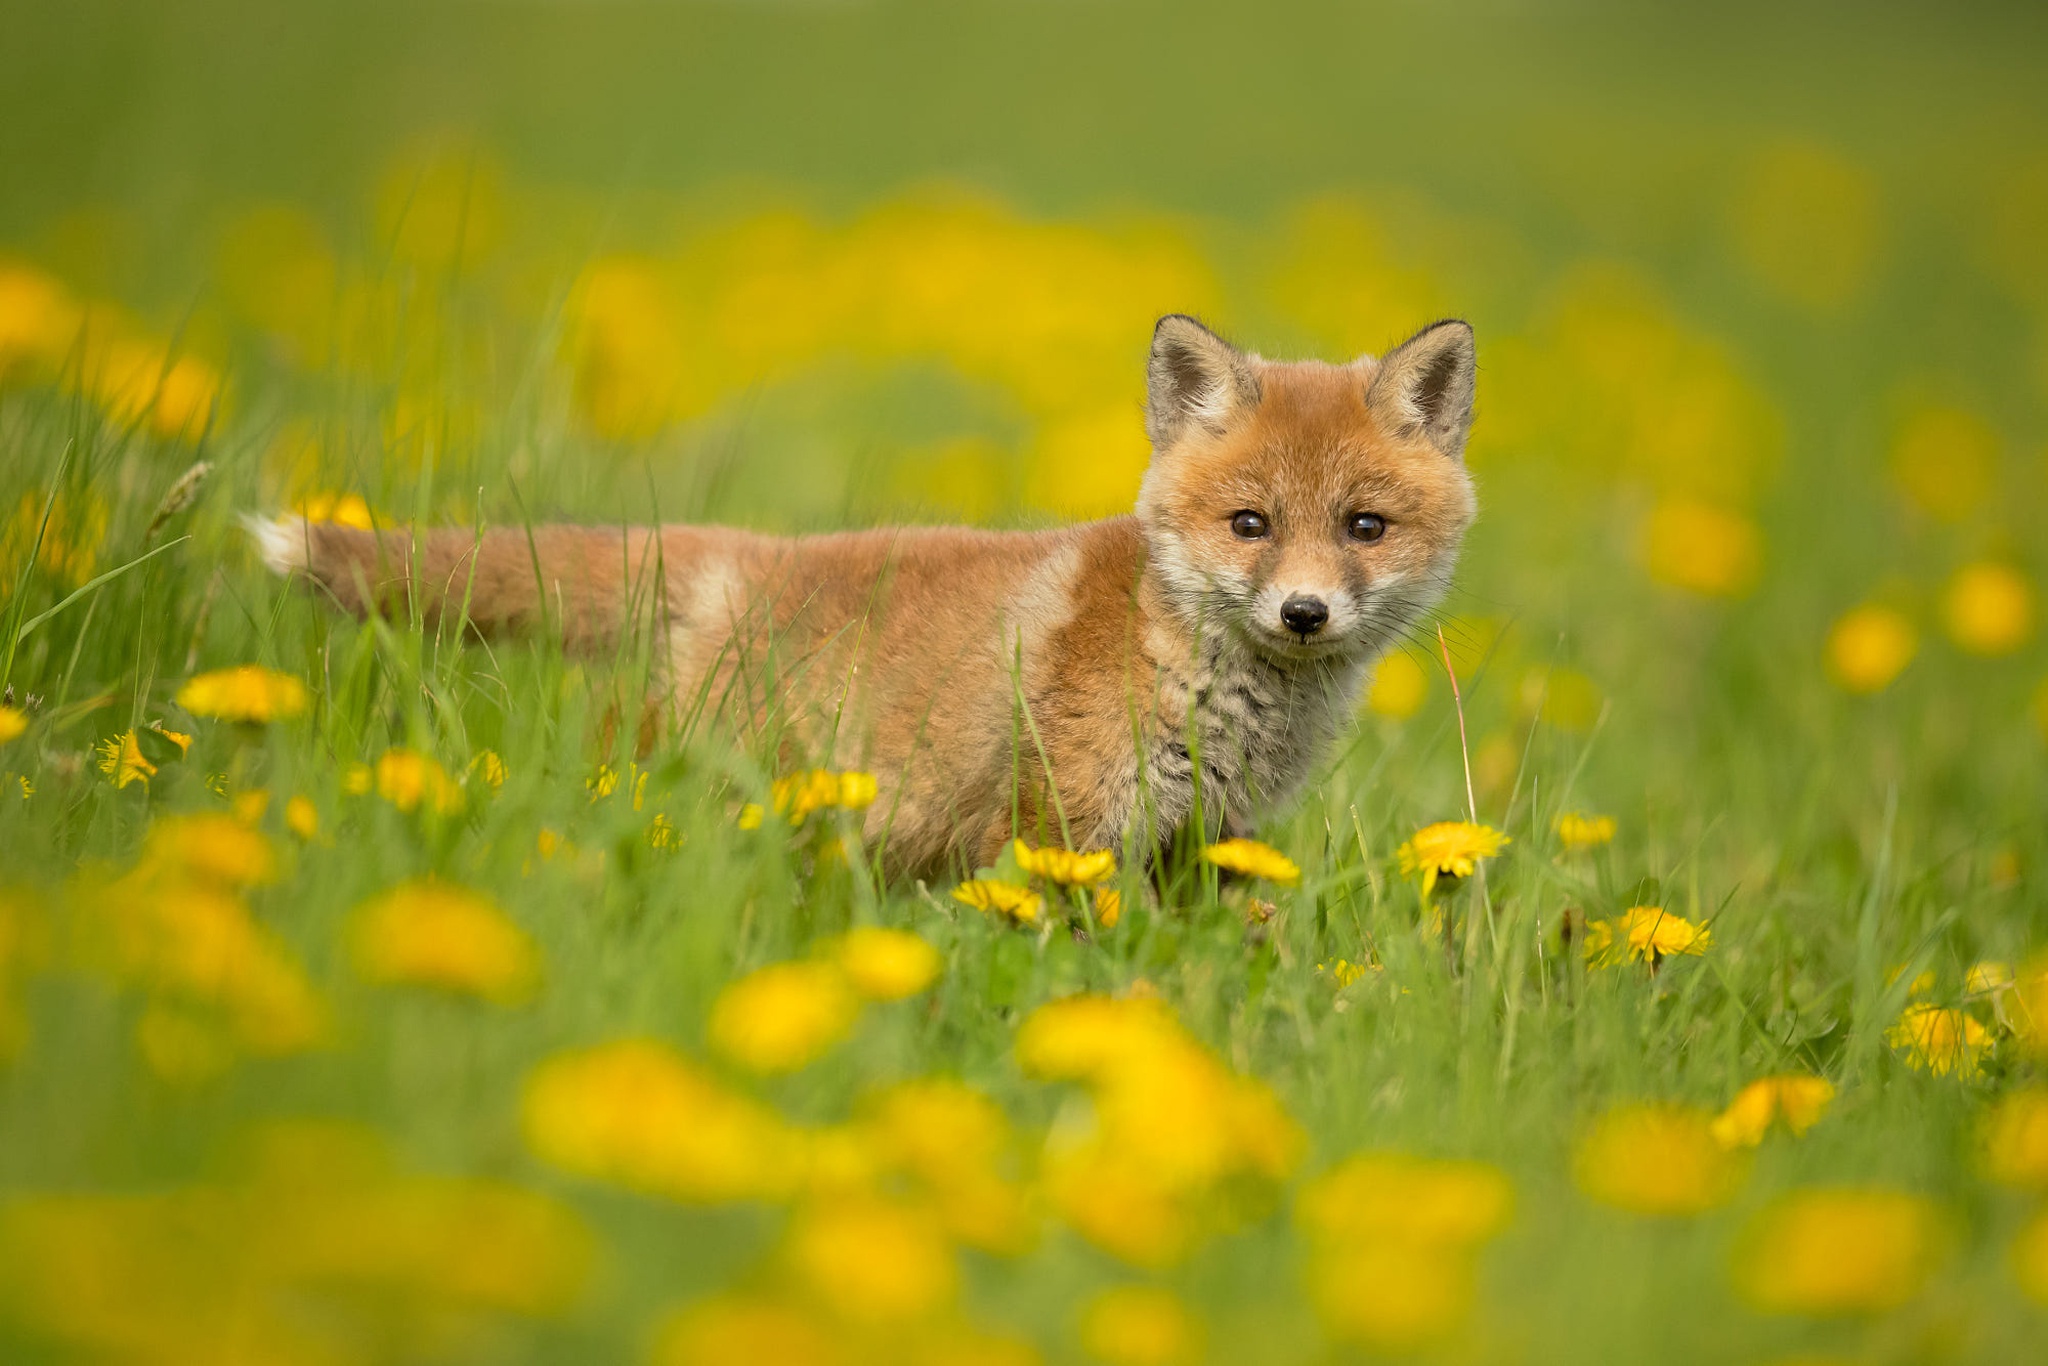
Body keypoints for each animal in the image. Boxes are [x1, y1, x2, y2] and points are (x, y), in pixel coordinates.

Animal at [251, 315, 1474, 880]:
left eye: (1363, 528)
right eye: (1250, 525)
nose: (1304, 614)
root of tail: (744, 553)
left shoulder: (1203, 848)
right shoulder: (1059, 832)